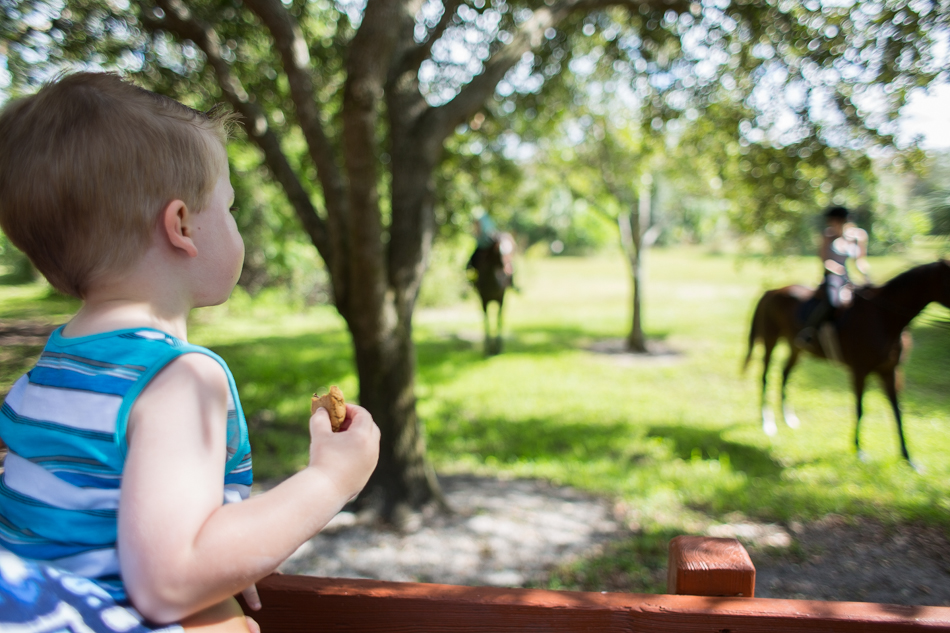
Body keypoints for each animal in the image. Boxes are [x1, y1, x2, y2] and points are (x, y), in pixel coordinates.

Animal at [744, 258, 950, 464]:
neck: (884, 318)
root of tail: (772, 291)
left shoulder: (891, 370)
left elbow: (897, 410)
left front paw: (908, 457)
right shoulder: (859, 370)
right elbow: (860, 408)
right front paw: (859, 450)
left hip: (796, 347)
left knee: (785, 374)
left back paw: (787, 418)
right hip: (770, 340)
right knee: (765, 377)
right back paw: (767, 422)